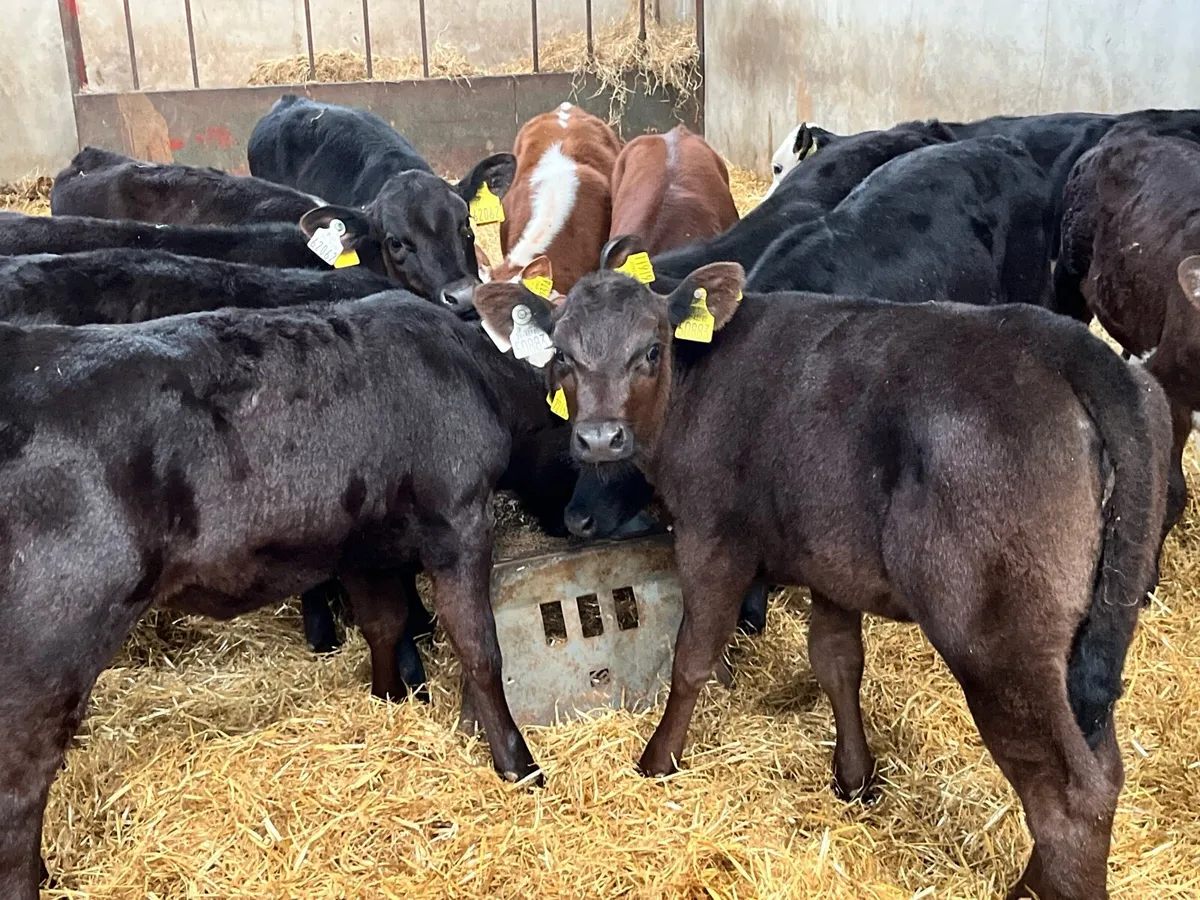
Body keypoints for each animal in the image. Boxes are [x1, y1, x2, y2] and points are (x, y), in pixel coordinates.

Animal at [473, 259, 1171, 900]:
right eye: (563, 356)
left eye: (651, 349)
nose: (599, 437)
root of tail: (1061, 341)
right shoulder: (832, 560)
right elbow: (837, 662)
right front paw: (856, 779)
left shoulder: (712, 536)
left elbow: (693, 656)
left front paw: (658, 761)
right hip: (1081, 634)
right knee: (1101, 769)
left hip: (999, 640)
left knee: (1070, 795)